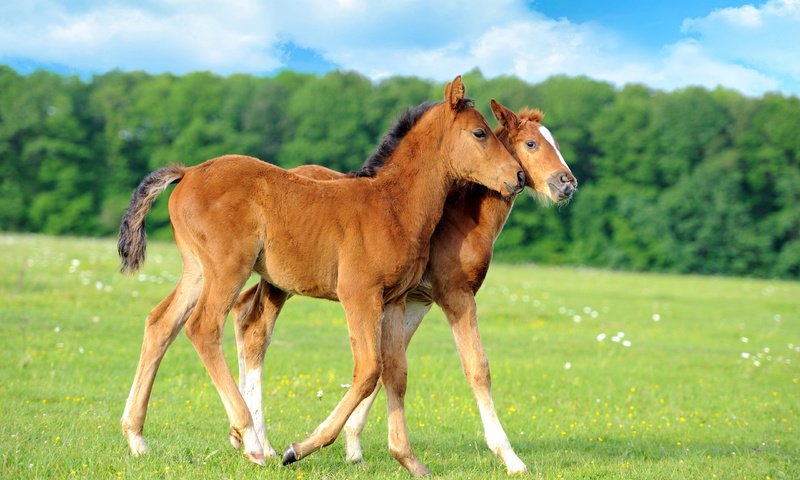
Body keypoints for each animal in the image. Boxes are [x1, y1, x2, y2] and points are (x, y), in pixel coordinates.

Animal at [115, 77, 520, 474]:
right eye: (480, 133)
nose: (516, 175)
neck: (393, 204)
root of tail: (188, 172)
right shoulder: (359, 295)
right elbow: (369, 369)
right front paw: (299, 448)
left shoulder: (394, 301)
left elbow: (396, 372)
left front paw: (410, 460)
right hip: (228, 268)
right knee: (202, 327)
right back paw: (252, 442)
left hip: (197, 270)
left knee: (161, 323)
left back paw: (137, 438)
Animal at [231, 99, 576, 474]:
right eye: (531, 144)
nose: (567, 183)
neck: (459, 219)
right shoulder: (455, 295)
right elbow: (476, 367)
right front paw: (510, 458)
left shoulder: (414, 301)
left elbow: (388, 367)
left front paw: (354, 447)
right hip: (281, 283)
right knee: (256, 330)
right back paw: (260, 443)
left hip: (274, 280)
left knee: (245, 314)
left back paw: (245, 437)